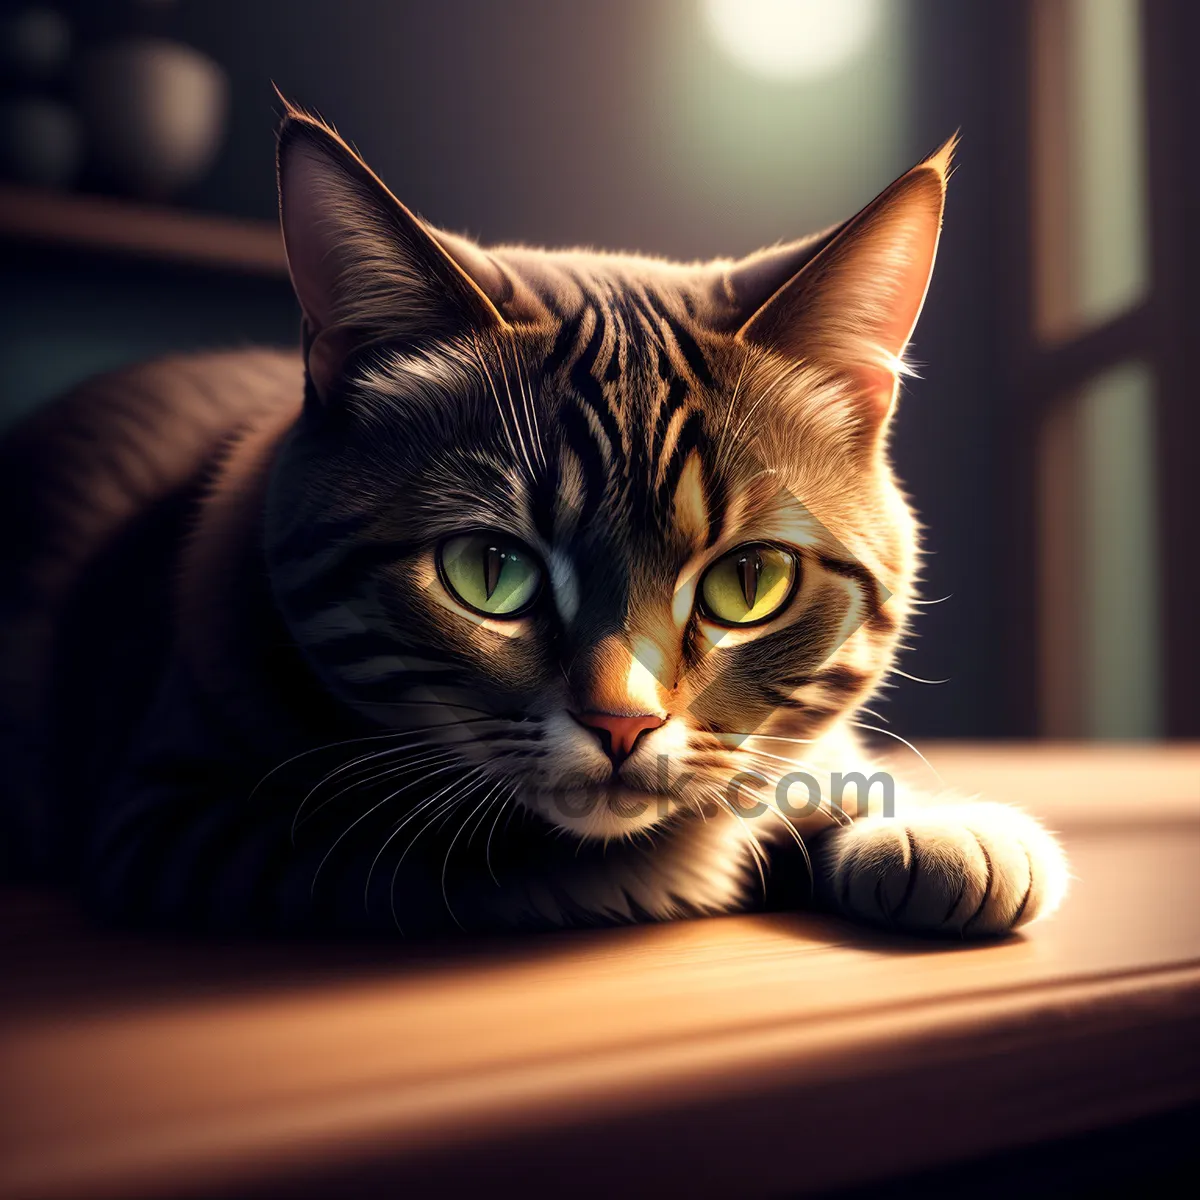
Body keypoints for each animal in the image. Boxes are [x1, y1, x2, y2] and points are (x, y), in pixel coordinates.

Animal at [0, 103, 1070, 936]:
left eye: (749, 582)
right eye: (489, 570)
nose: (623, 724)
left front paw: (923, 822)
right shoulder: (180, 816)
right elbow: (548, 860)